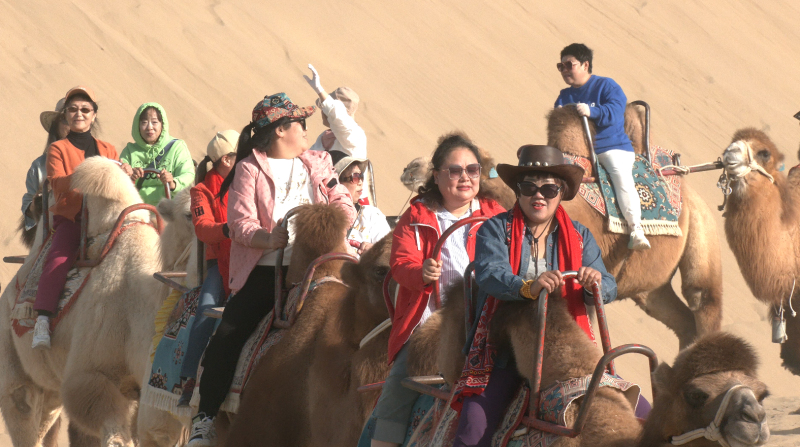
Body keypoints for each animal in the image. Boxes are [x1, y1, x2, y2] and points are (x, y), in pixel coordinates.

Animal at [0, 156, 195, 446]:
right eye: (190, 214)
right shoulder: (90, 377)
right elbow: (115, 434)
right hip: (11, 352)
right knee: (22, 407)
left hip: (50, 383)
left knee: (47, 414)